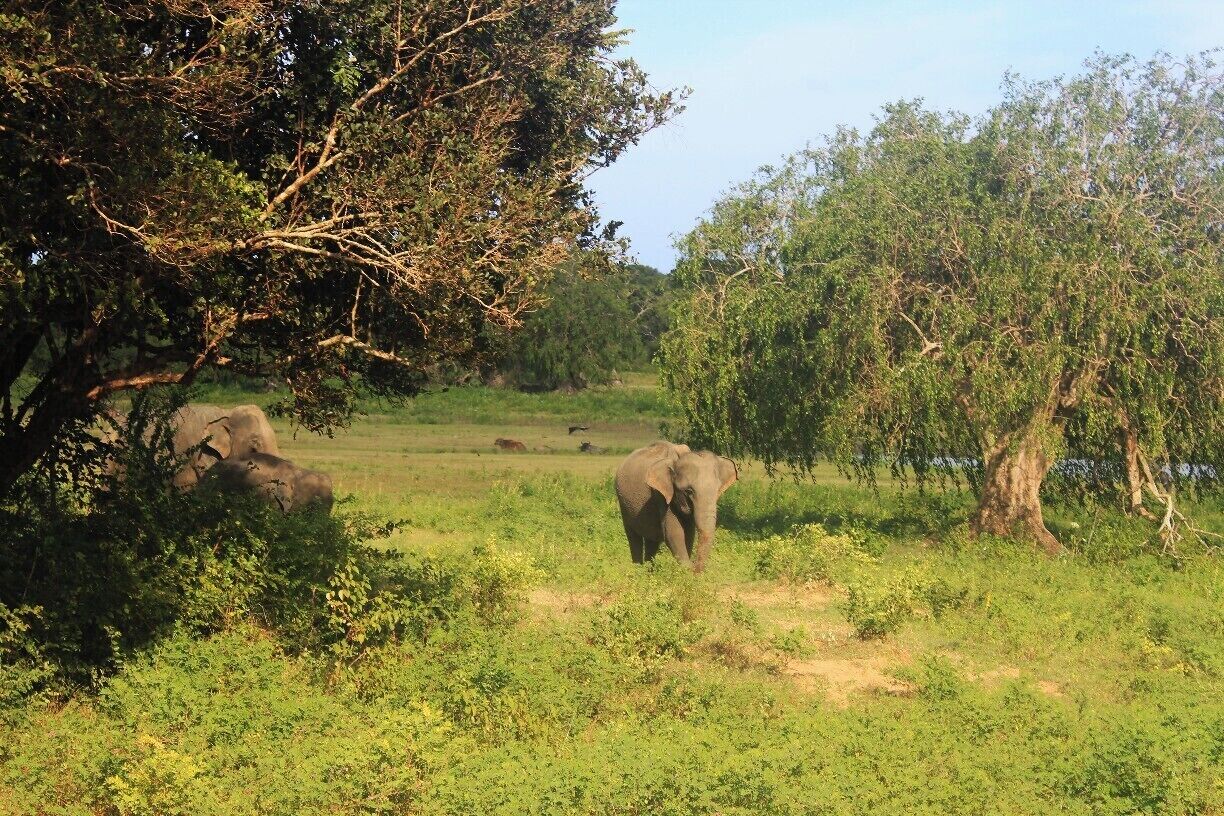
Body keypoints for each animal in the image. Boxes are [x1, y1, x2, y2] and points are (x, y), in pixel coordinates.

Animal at [615, 441, 738, 573]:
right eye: (689, 491)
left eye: (717, 490)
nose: (696, 569)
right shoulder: (661, 494)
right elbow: (674, 532)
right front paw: (687, 570)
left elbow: (688, 533)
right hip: (623, 504)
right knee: (633, 537)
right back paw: (638, 570)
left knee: (651, 540)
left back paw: (649, 571)